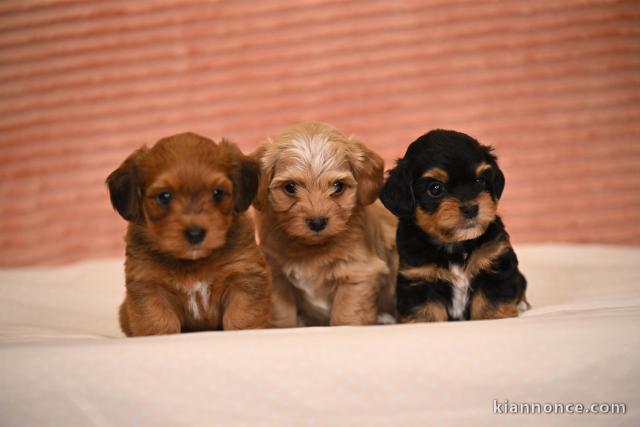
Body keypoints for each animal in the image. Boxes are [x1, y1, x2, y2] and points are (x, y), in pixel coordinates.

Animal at [107, 132, 270, 336]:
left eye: (218, 193)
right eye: (164, 196)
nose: (195, 233)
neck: (193, 263)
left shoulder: (243, 276)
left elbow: (241, 320)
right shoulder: (148, 285)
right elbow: (158, 324)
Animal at [252, 122, 398, 330]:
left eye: (338, 186)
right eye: (290, 187)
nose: (317, 222)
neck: (312, 249)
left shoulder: (358, 273)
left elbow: (345, 316)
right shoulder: (277, 276)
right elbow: (282, 316)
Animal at [380, 129, 524, 322]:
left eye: (480, 181)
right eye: (435, 189)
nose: (471, 208)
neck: (454, 245)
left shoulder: (495, 262)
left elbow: (490, 301)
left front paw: (492, 317)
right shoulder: (418, 279)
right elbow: (426, 313)